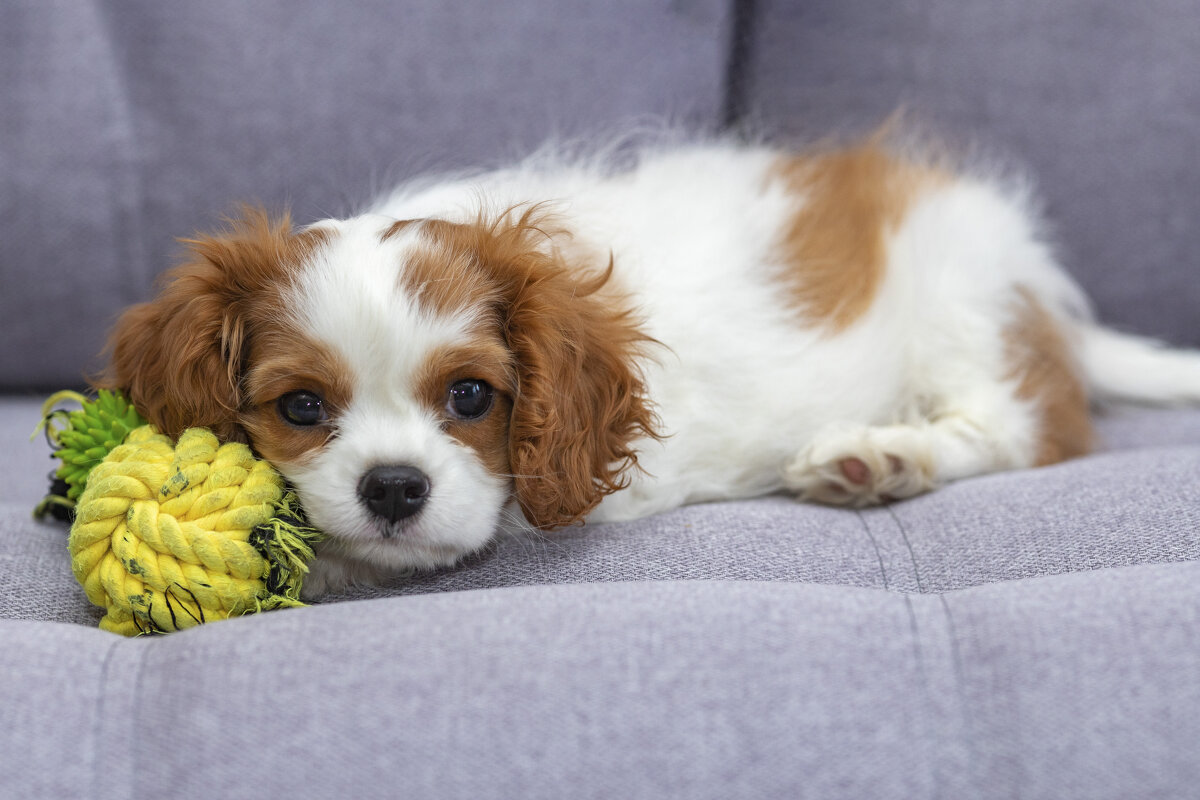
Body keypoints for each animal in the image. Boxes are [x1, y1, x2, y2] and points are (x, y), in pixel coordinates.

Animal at [98, 133, 1200, 594]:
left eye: (471, 395)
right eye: (299, 408)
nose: (394, 487)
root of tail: (1028, 268)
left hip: (959, 308)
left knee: (1019, 429)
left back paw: (882, 458)